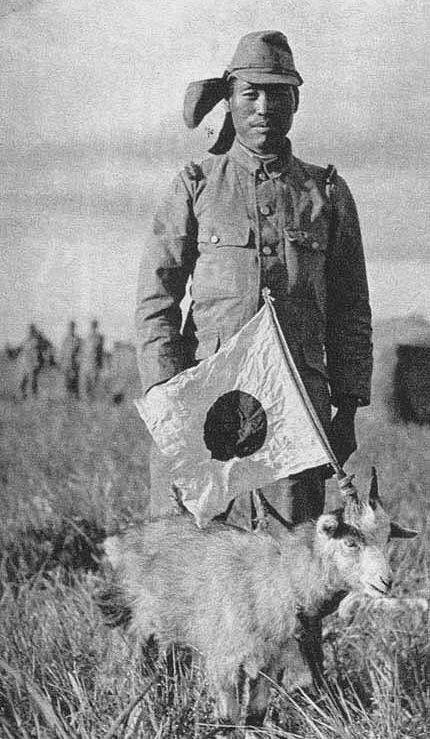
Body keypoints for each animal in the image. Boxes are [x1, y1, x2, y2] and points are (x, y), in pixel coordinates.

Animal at [101, 472, 416, 732]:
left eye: (387, 539)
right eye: (351, 542)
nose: (386, 582)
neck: (281, 575)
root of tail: (123, 538)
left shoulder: (270, 661)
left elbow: (254, 717)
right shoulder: (223, 660)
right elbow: (227, 720)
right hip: (138, 620)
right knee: (135, 667)